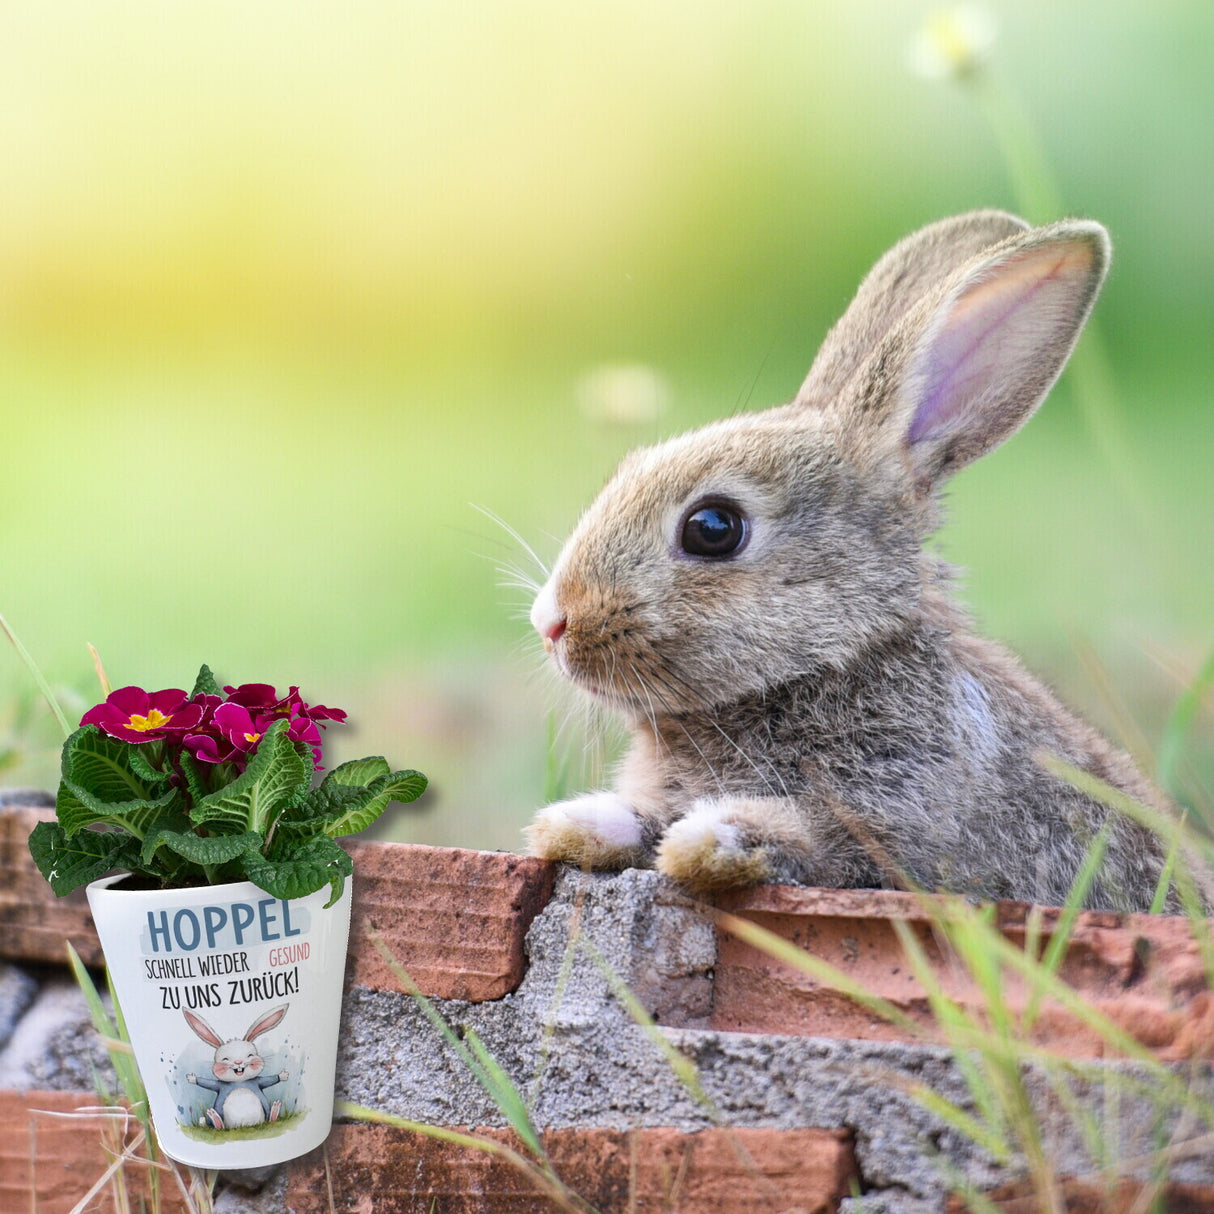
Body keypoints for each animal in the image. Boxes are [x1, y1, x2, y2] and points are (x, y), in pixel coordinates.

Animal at [525, 210, 1180, 913]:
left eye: (713, 528)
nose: (551, 622)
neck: (829, 663)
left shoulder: (899, 826)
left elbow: (815, 841)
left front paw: (712, 839)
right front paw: (577, 823)